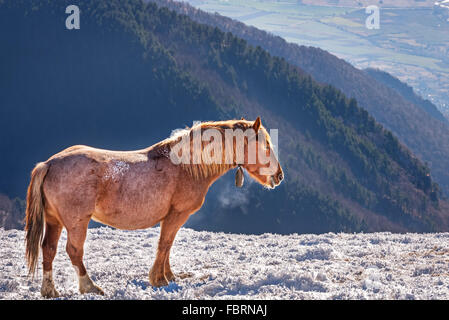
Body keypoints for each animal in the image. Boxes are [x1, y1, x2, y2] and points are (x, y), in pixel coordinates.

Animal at [24, 117, 282, 298]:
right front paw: (159, 279)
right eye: (266, 145)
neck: (185, 166)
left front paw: (169, 275)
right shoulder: (177, 215)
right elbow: (165, 244)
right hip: (77, 222)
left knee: (49, 249)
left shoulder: (171, 217)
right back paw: (90, 286)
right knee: (74, 251)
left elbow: (166, 246)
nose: (279, 176)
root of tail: (49, 163)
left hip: (55, 220)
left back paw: (50, 290)